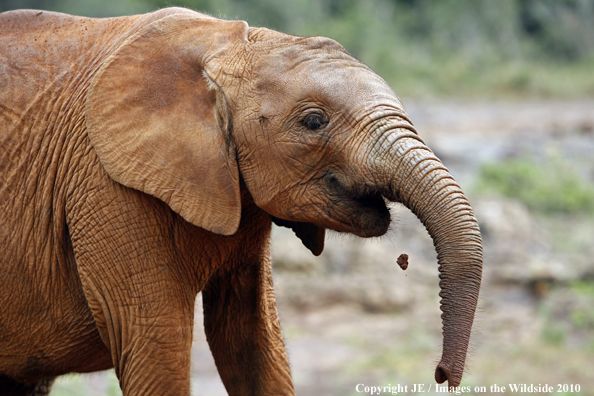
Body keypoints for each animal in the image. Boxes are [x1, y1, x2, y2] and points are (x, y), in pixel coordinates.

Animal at [0, 6, 478, 396]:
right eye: (314, 122)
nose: (441, 375)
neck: (228, 46)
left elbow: (251, 338)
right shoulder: (108, 184)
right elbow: (155, 342)